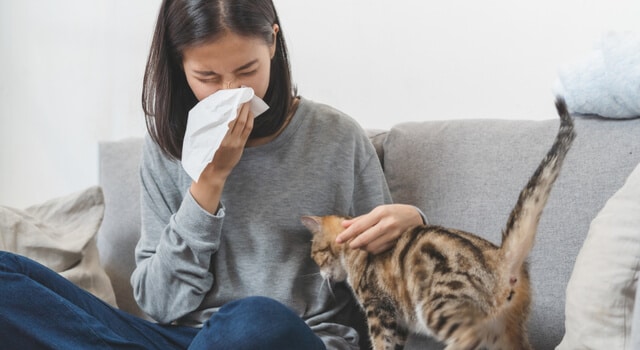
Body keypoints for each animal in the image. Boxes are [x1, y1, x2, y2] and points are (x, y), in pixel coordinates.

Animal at [302, 98, 576, 350]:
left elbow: (381, 343)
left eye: (316, 254)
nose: (320, 274)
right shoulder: (397, 322)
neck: (354, 252)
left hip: (437, 306)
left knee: (467, 336)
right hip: (507, 329)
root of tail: (499, 257)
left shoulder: (380, 308)